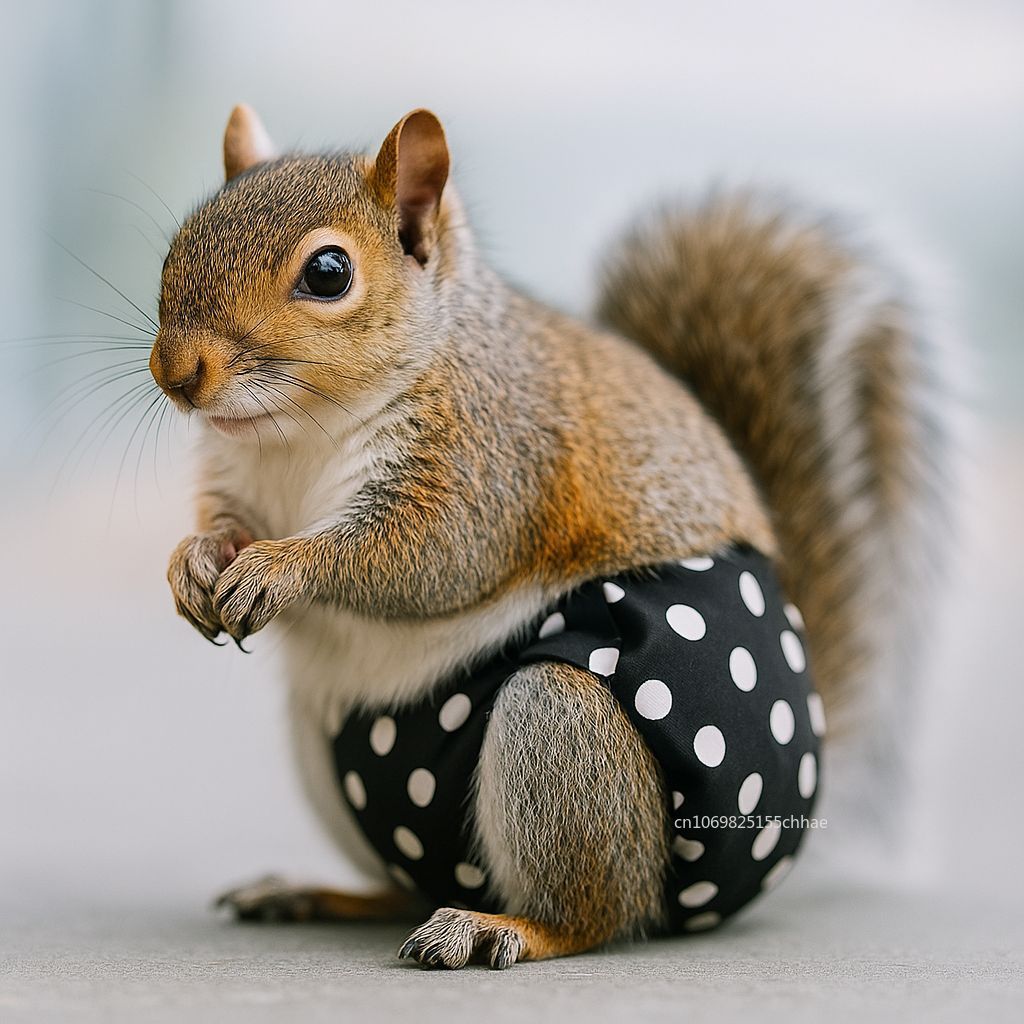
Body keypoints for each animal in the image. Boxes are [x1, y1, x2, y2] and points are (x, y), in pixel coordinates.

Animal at [151, 105, 952, 968]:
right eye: (178, 242)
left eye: (328, 273)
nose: (174, 373)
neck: (296, 436)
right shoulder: (241, 482)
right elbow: (225, 525)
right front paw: (192, 563)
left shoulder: (492, 458)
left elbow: (425, 557)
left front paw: (283, 567)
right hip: (328, 749)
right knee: (408, 884)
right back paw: (319, 894)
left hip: (565, 730)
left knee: (597, 911)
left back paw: (499, 926)